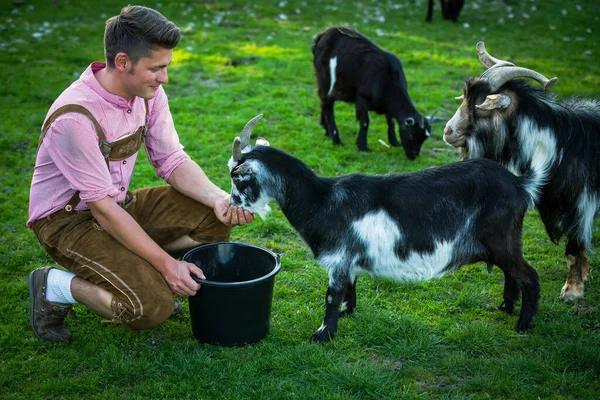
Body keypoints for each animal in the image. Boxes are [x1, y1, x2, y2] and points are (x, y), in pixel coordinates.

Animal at [229, 113, 552, 344]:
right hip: (503, 241)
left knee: (529, 276)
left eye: (238, 178)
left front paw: (323, 334)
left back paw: (523, 325)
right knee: (511, 274)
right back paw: (505, 308)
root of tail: (519, 184)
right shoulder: (349, 259)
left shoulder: (339, 257)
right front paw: (347, 314)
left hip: (500, 238)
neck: (322, 199)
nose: (232, 202)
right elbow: (350, 287)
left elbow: (332, 294)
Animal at [312, 26, 442, 158]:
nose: (413, 156)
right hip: (325, 81)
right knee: (328, 107)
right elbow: (365, 122)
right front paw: (363, 147)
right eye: (411, 135)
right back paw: (336, 140)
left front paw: (394, 142)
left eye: (424, 139)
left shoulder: (387, 107)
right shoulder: (361, 98)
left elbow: (391, 121)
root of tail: (322, 35)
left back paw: (326, 130)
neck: (387, 81)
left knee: (323, 103)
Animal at [442, 41, 596, 304]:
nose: (447, 131)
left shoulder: (581, 202)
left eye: (480, 107)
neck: (558, 143)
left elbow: (574, 246)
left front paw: (572, 292)